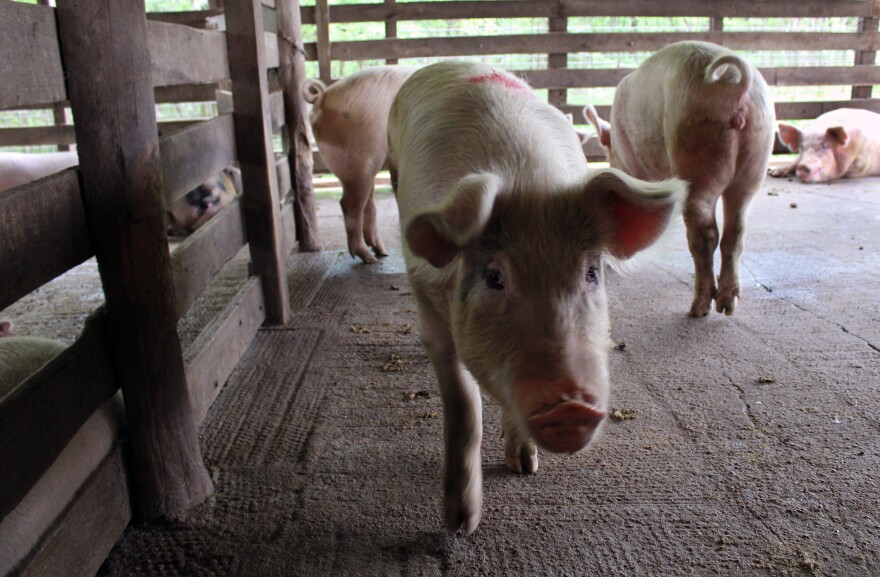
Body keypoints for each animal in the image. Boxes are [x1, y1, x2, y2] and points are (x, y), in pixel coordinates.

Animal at [302, 66, 416, 264]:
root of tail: (323, 97)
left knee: (367, 204)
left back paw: (381, 252)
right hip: (362, 157)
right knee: (350, 204)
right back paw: (369, 258)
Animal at [386, 60, 688, 532]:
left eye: (591, 273)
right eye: (495, 278)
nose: (571, 406)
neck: (529, 180)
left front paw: (526, 468)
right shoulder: (428, 302)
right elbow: (463, 406)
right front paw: (460, 524)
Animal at [588, 41, 772, 318]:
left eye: (608, 154)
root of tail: (735, 87)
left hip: (693, 147)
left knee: (706, 233)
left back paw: (698, 309)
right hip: (756, 157)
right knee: (737, 231)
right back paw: (728, 305)